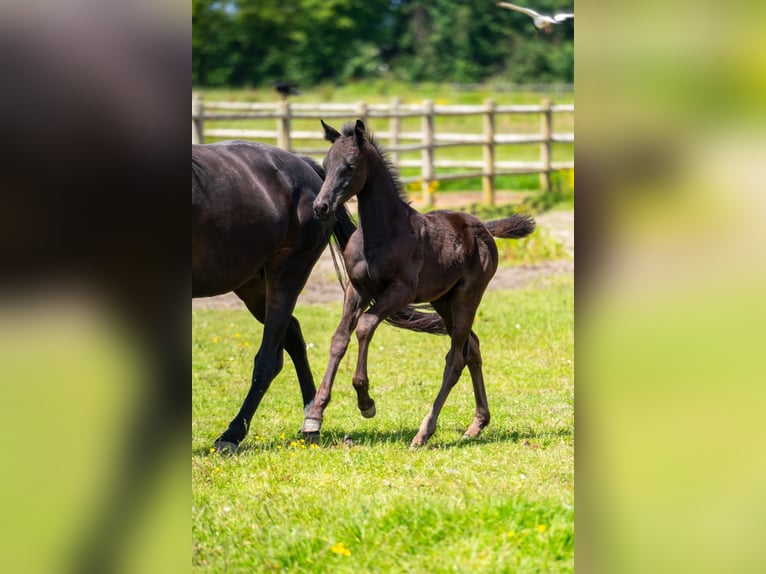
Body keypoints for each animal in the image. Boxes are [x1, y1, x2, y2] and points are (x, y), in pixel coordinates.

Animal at [195, 141, 356, 454]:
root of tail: (308, 169)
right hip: (252, 285)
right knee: (292, 334)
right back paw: (310, 422)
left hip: (287, 273)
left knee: (269, 359)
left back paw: (232, 434)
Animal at [304, 121, 536, 450]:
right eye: (325, 165)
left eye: (349, 166)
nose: (321, 207)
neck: (381, 232)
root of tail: (483, 228)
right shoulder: (356, 288)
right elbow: (339, 338)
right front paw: (316, 413)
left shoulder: (401, 292)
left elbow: (365, 326)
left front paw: (366, 401)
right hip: (443, 301)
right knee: (472, 347)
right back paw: (476, 424)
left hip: (467, 297)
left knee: (456, 358)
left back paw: (424, 431)